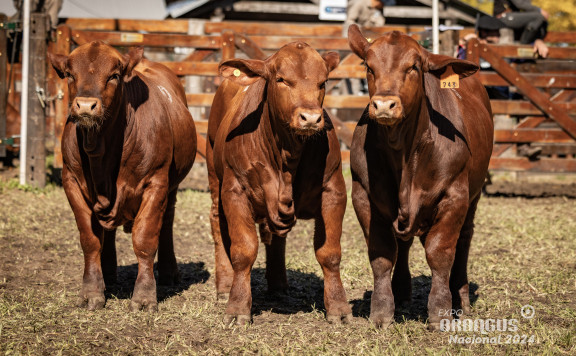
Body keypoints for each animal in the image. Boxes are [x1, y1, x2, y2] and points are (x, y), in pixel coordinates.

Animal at [48, 40, 196, 310]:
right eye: (70, 74)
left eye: (114, 76)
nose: (85, 105)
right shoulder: (70, 181)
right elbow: (90, 239)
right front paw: (92, 291)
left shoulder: (156, 183)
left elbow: (145, 238)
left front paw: (145, 296)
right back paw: (107, 273)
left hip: (172, 186)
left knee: (167, 222)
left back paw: (168, 272)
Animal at [348, 25, 492, 330]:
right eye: (368, 66)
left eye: (413, 67)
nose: (384, 104)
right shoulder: (363, 195)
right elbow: (382, 254)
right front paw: (382, 312)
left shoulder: (454, 195)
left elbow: (440, 254)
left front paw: (440, 312)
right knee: (404, 244)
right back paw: (401, 291)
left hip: (474, 193)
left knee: (464, 239)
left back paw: (460, 297)